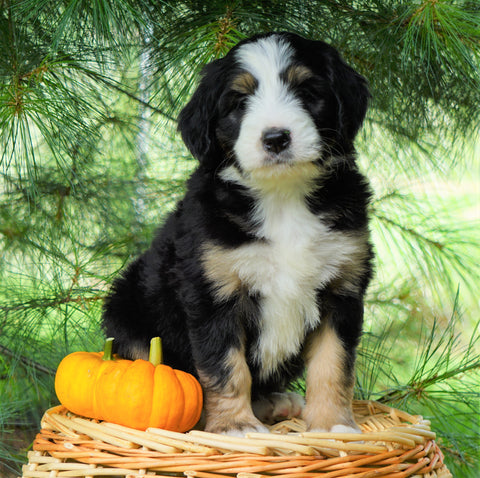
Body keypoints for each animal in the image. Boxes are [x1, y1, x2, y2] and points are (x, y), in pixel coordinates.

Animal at [103, 31, 374, 436]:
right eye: (239, 101)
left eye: (308, 91)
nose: (276, 138)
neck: (282, 197)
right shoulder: (213, 292)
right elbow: (226, 367)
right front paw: (234, 426)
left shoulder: (342, 288)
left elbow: (333, 363)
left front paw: (332, 426)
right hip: (125, 311)